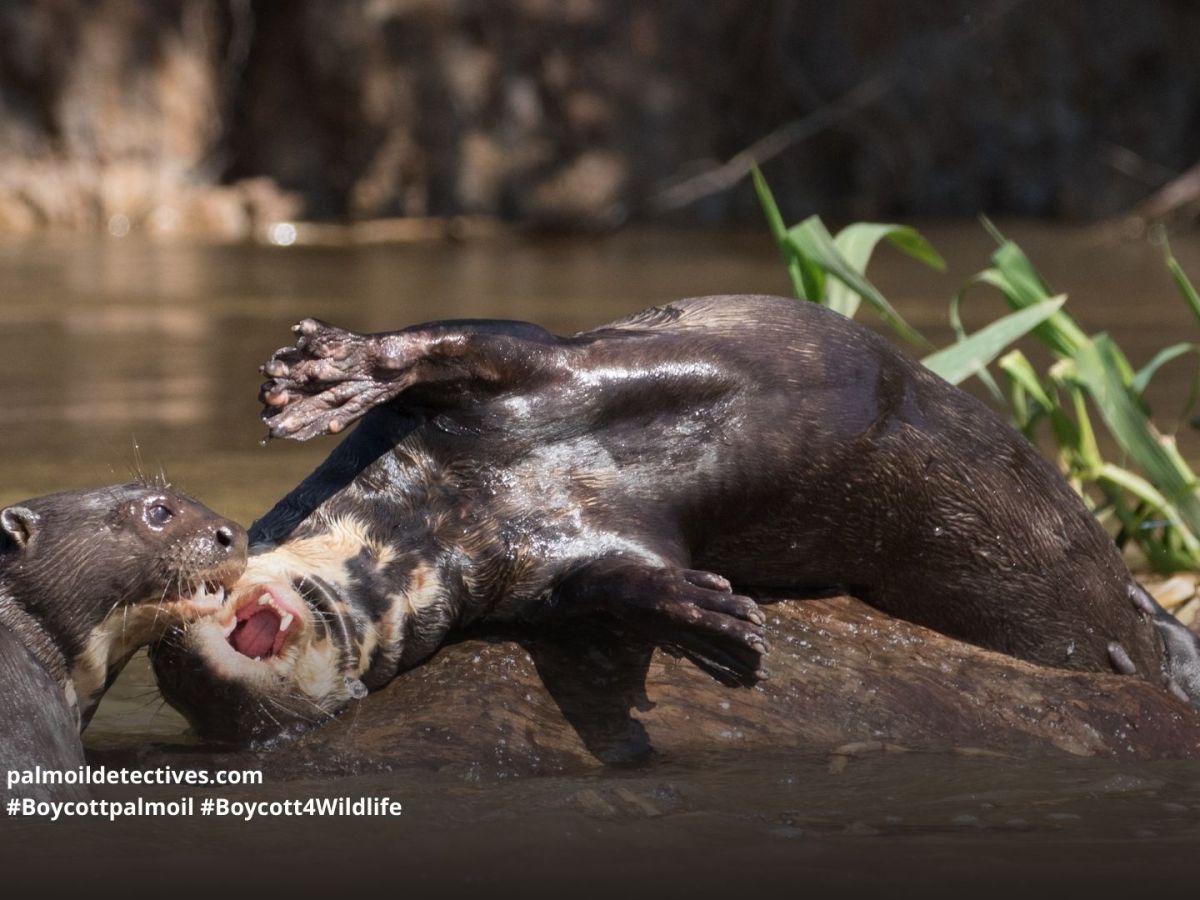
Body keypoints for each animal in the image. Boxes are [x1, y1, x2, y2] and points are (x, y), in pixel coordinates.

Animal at [152, 295, 1200, 741]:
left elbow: (459, 339)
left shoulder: (534, 368)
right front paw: (710, 616)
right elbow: (615, 582)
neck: (443, 514)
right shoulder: (544, 570)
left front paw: (328, 373)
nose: (204, 666)